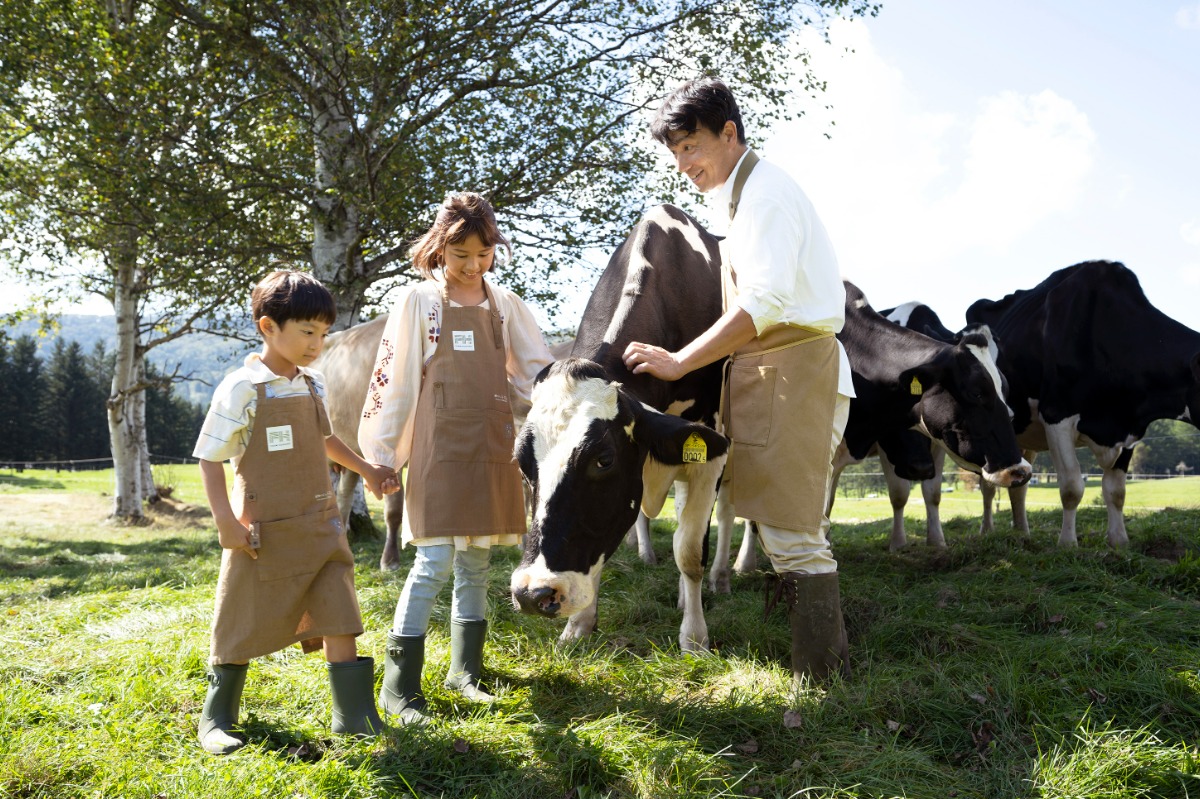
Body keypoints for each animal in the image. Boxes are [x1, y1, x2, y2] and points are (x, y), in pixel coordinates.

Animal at [508, 202, 724, 652]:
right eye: (522, 463)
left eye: (603, 460)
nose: (534, 594)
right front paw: (579, 625)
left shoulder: (710, 447)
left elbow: (690, 551)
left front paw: (695, 637)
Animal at [964, 257, 1200, 544]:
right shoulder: (1057, 415)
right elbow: (1071, 488)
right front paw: (1067, 543)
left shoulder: (1130, 428)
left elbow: (1116, 491)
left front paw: (1119, 541)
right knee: (987, 485)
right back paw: (987, 530)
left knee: (1017, 486)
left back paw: (1022, 532)